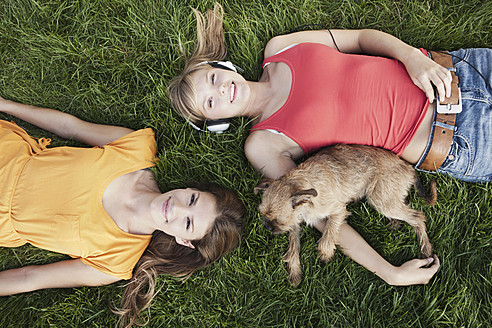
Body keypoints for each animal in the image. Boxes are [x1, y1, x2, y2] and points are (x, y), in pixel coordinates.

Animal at [256, 145, 436, 286]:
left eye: (278, 221)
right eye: (263, 215)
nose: (267, 227)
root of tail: (408, 167)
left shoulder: (338, 210)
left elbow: (329, 231)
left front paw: (325, 252)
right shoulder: (295, 222)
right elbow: (293, 247)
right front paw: (294, 271)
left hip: (380, 198)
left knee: (418, 216)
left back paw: (425, 247)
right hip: (385, 198)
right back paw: (395, 223)